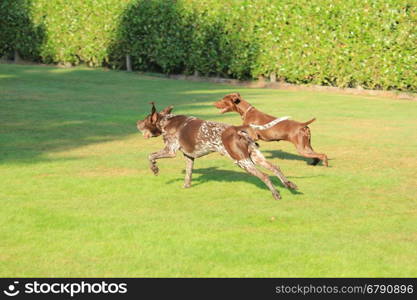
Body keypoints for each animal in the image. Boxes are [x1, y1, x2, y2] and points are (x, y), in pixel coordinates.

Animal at [138, 102, 298, 200]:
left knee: (264, 176)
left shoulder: (170, 150)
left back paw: (276, 193)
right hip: (255, 157)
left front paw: (154, 169)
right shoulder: (189, 157)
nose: (137, 123)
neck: (166, 122)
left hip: (242, 161)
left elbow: (150, 156)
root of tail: (236, 128)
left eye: (145, 120)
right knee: (276, 168)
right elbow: (188, 174)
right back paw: (289, 185)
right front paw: (186, 186)